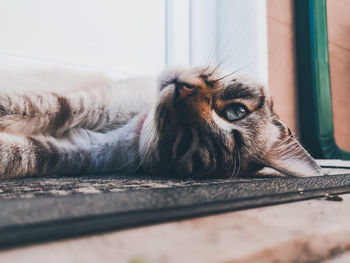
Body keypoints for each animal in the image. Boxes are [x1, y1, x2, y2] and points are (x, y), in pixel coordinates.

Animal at [0, 66, 322, 179]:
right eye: (235, 112)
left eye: (184, 143)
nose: (182, 91)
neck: (136, 126)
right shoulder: (101, 103)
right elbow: (43, 106)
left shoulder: (85, 150)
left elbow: (26, 153)